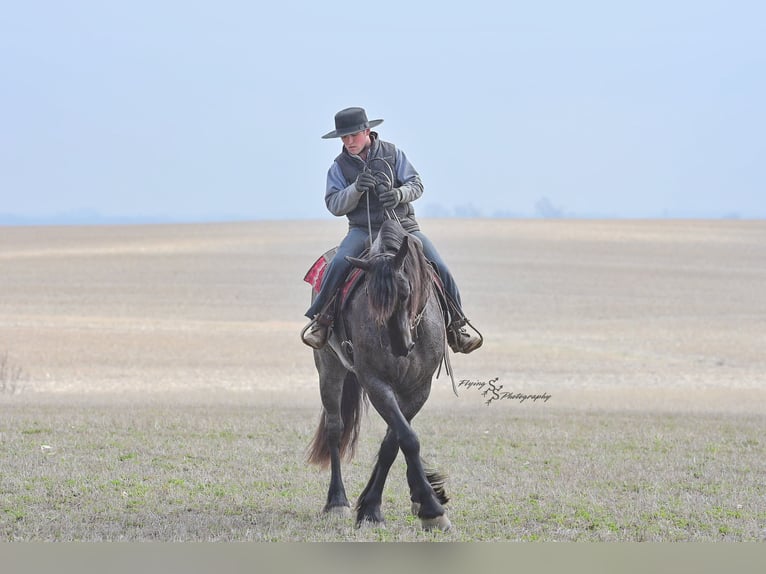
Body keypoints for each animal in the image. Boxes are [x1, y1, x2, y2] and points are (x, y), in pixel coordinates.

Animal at [306, 218, 451, 531]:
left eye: (406, 291)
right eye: (371, 297)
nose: (399, 345)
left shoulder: (418, 388)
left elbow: (393, 442)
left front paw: (379, 505)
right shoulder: (375, 383)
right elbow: (407, 438)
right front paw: (432, 509)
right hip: (329, 368)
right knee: (335, 429)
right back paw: (337, 501)